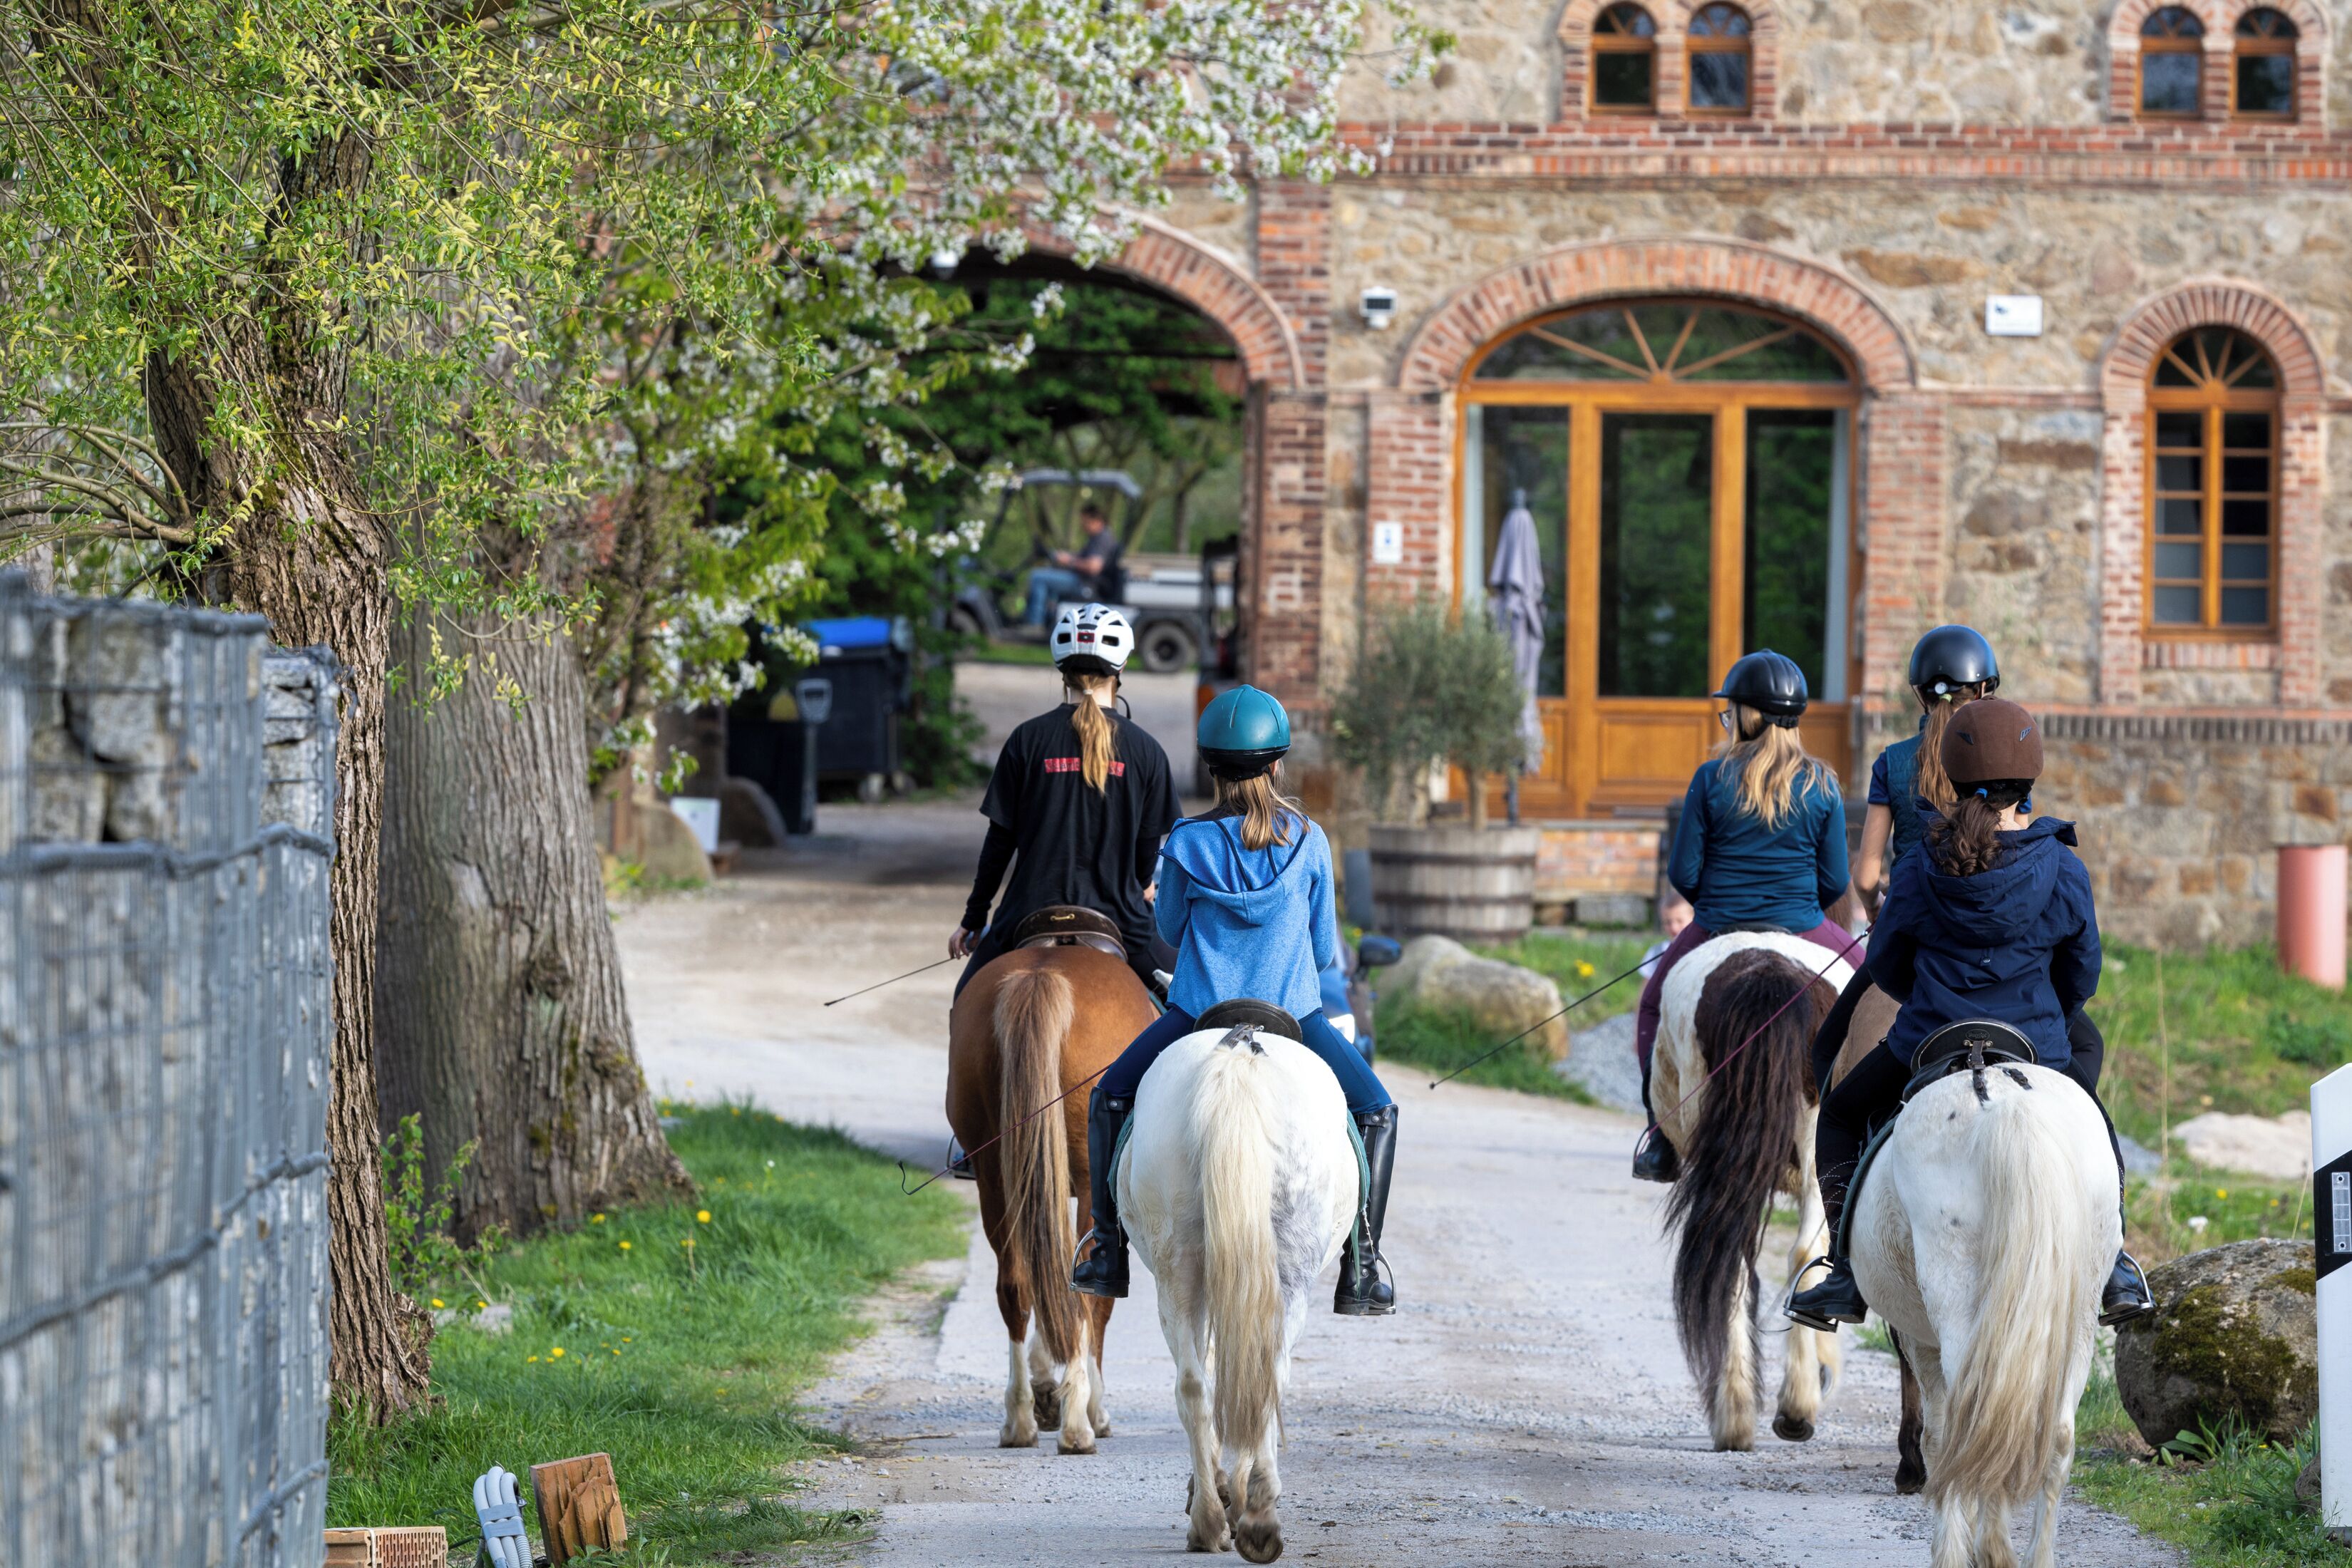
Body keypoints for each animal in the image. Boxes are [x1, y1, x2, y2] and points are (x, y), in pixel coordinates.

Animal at [947, 937, 1158, 1454]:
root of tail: (1041, 974)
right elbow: (1092, 1303)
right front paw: (1087, 1404)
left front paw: (1046, 1389)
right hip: (1089, 1179)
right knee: (1082, 1294)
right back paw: (1078, 1425)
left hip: (995, 1175)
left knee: (1017, 1285)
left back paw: (1020, 1420)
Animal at [1120, 1017, 1358, 1563]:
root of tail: (1240, 1053)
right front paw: (1232, 1493)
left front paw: (1222, 1491)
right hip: (1284, 1275)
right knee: (1258, 1377)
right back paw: (1246, 1517)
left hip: (1182, 1267)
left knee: (1199, 1383)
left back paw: (1223, 1520)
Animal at [1650, 932, 1853, 1451]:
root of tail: (1768, 975)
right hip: (1817, 1143)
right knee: (1802, 1253)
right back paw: (1796, 1403)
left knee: (1731, 1264)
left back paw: (1737, 1409)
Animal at [1847, 1048, 2117, 1568]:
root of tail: (2008, 1101)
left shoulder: (1918, 1337)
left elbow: (1936, 1433)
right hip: (2078, 1311)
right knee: (2053, 1431)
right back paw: (2031, 1556)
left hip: (1954, 1298)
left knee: (1969, 1420)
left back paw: (1966, 1550)